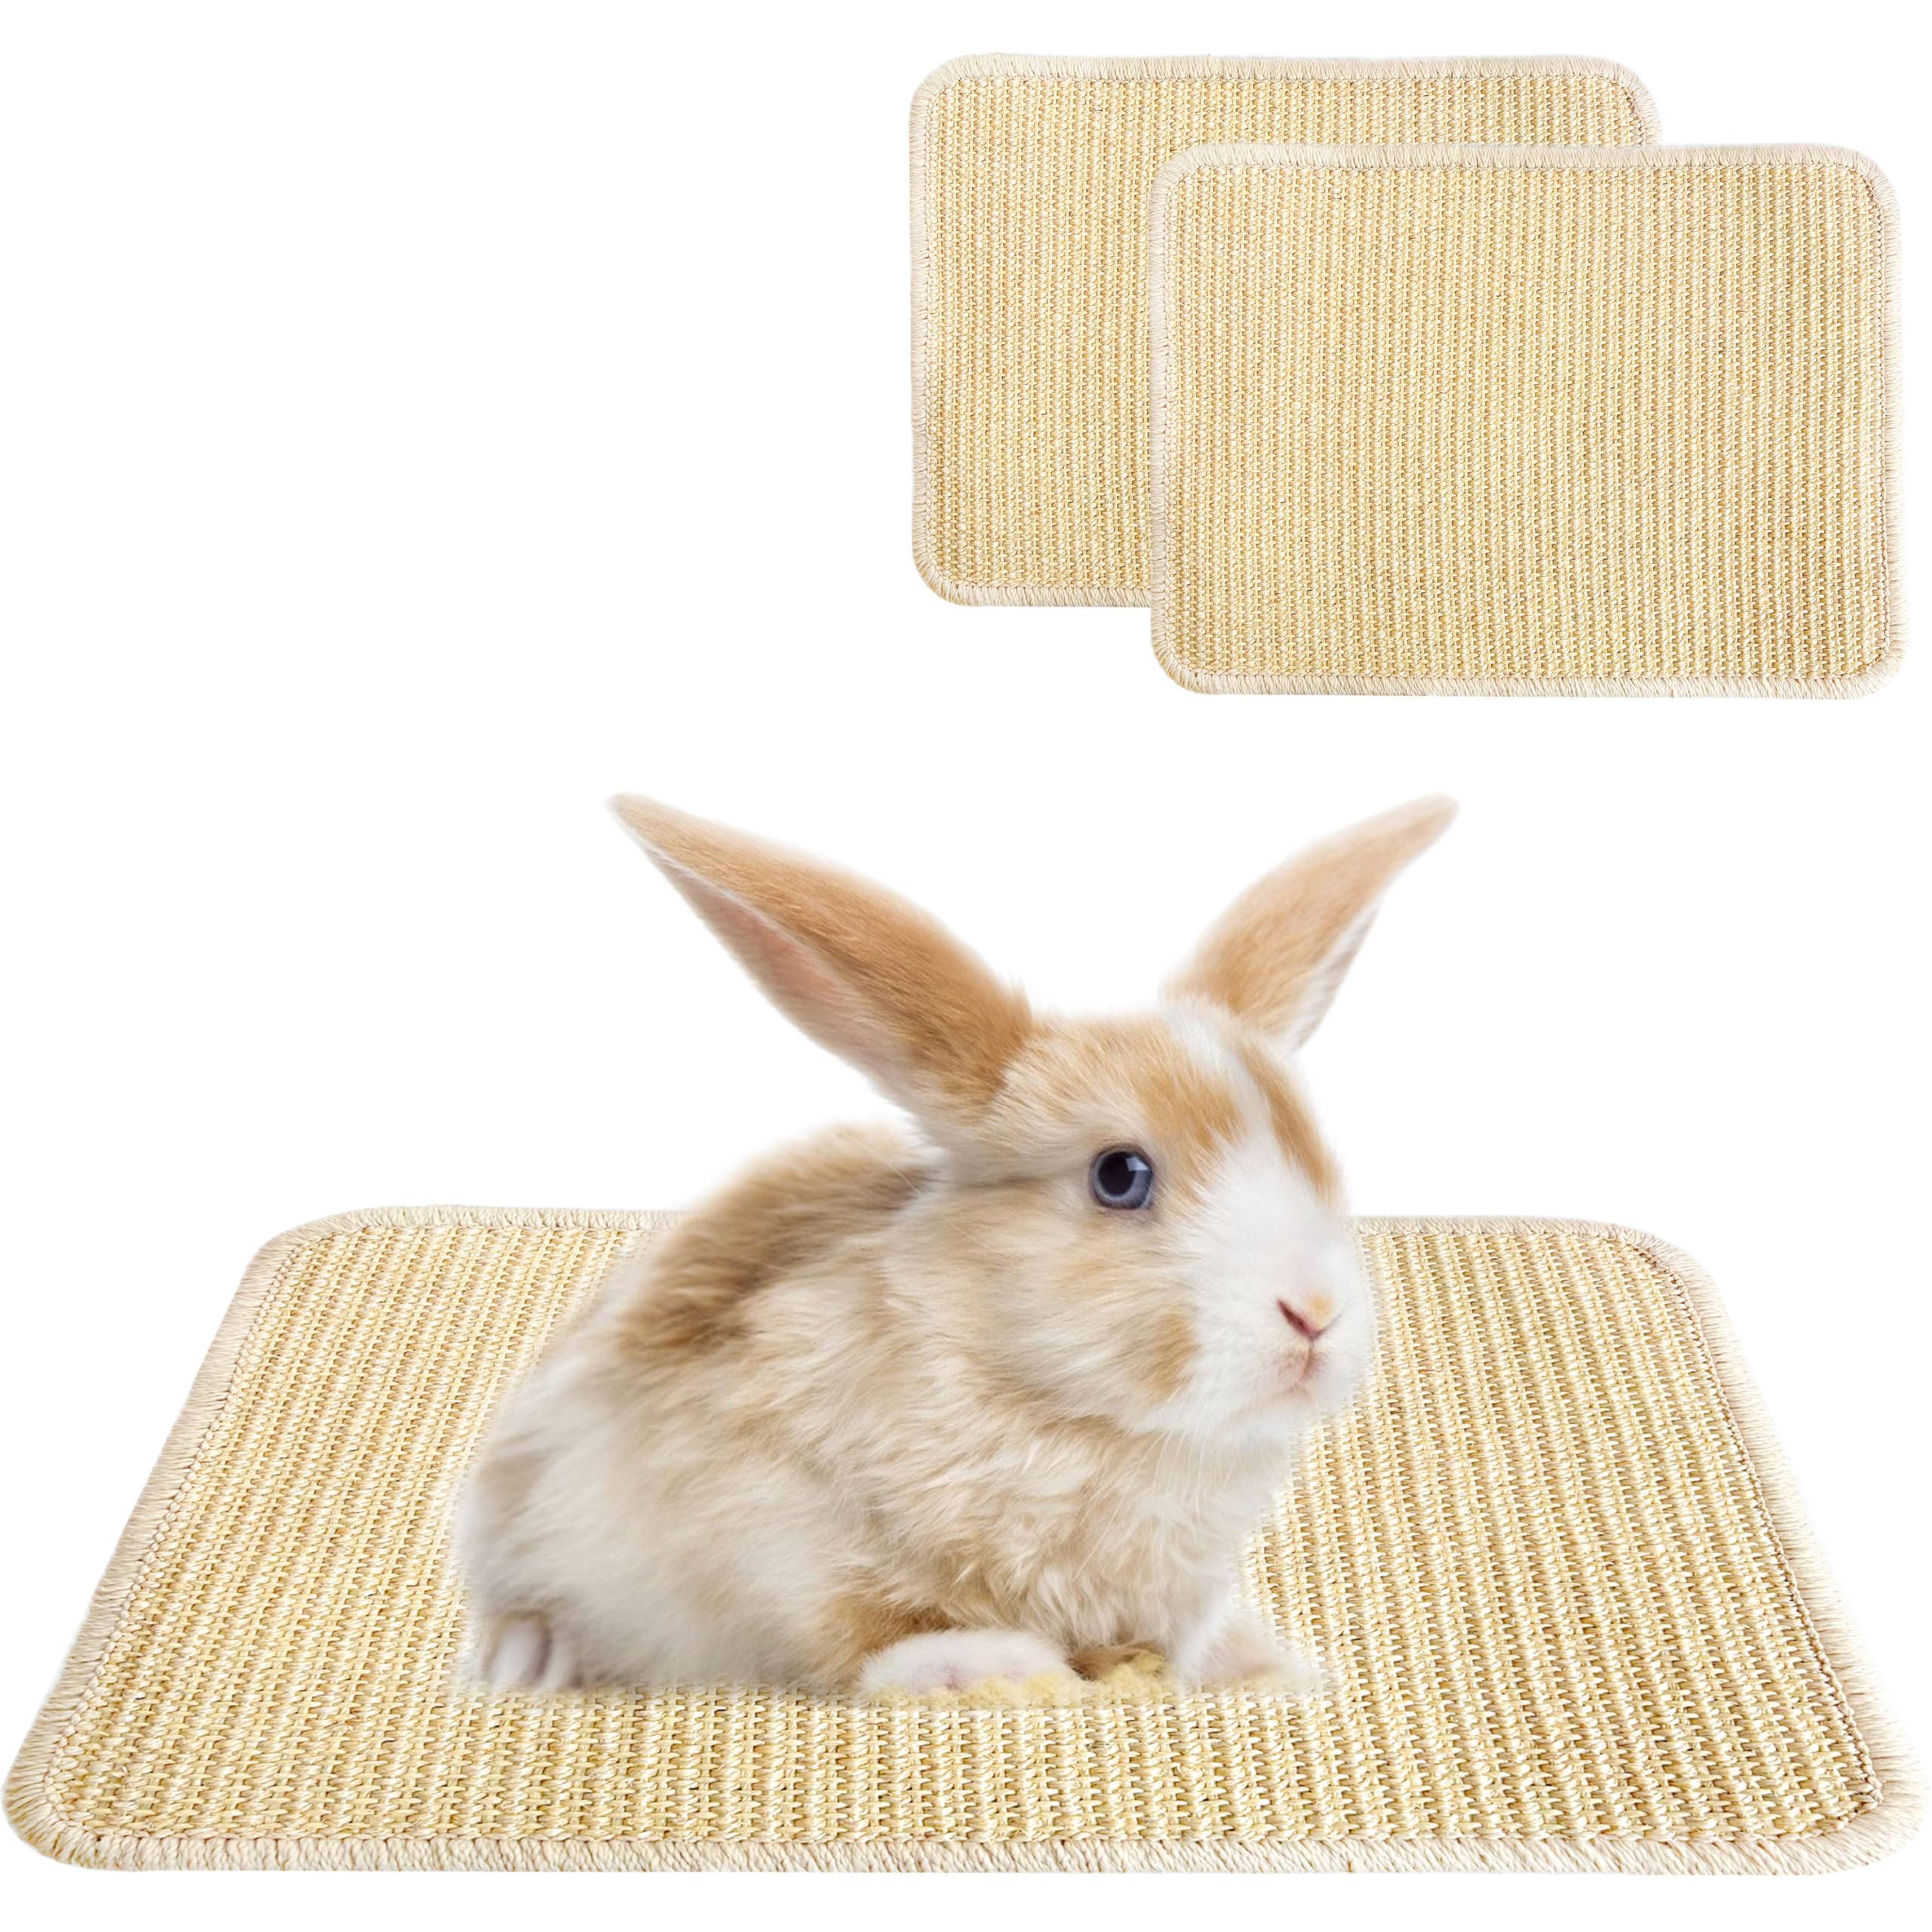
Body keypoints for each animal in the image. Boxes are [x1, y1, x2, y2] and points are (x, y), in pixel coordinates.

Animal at [455, 793, 1454, 1696]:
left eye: (1313, 1153)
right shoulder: (763, 1524)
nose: (1314, 1313)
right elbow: (859, 1630)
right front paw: (990, 1667)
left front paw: (1262, 1673)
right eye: (1119, 1175)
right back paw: (528, 1660)